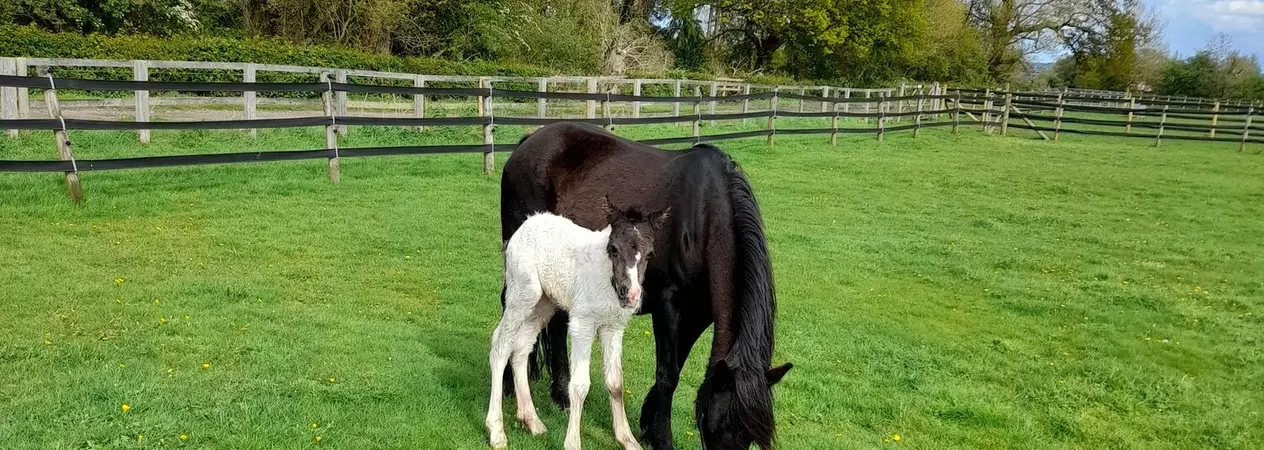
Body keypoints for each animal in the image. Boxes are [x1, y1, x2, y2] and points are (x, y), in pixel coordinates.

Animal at [487, 202, 668, 450]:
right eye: (613, 249)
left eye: (650, 254)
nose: (630, 295)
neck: (607, 278)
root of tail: (528, 222)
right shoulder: (582, 323)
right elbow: (580, 385)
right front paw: (572, 442)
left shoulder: (614, 327)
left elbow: (616, 382)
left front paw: (627, 439)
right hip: (524, 293)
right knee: (501, 346)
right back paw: (496, 431)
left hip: (544, 302)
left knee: (522, 347)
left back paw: (531, 420)